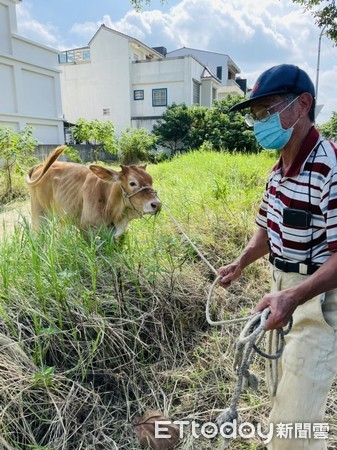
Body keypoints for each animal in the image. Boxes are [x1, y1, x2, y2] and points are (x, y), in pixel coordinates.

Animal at [26, 146, 161, 237]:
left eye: (151, 180)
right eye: (132, 183)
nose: (157, 204)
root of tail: (39, 165)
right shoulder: (87, 230)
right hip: (38, 214)